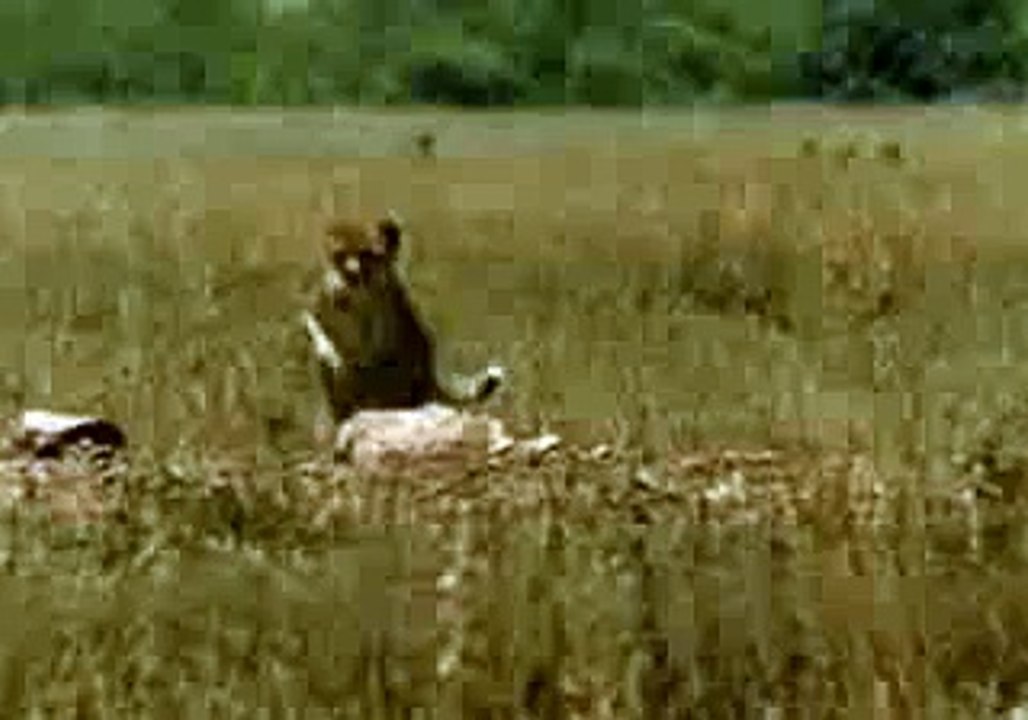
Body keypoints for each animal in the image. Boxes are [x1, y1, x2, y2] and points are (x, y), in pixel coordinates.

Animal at [301, 212, 505, 425]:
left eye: (366, 254)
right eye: (341, 255)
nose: (352, 272)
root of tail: (432, 375)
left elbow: (371, 349)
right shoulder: (320, 302)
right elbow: (313, 323)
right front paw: (330, 354)